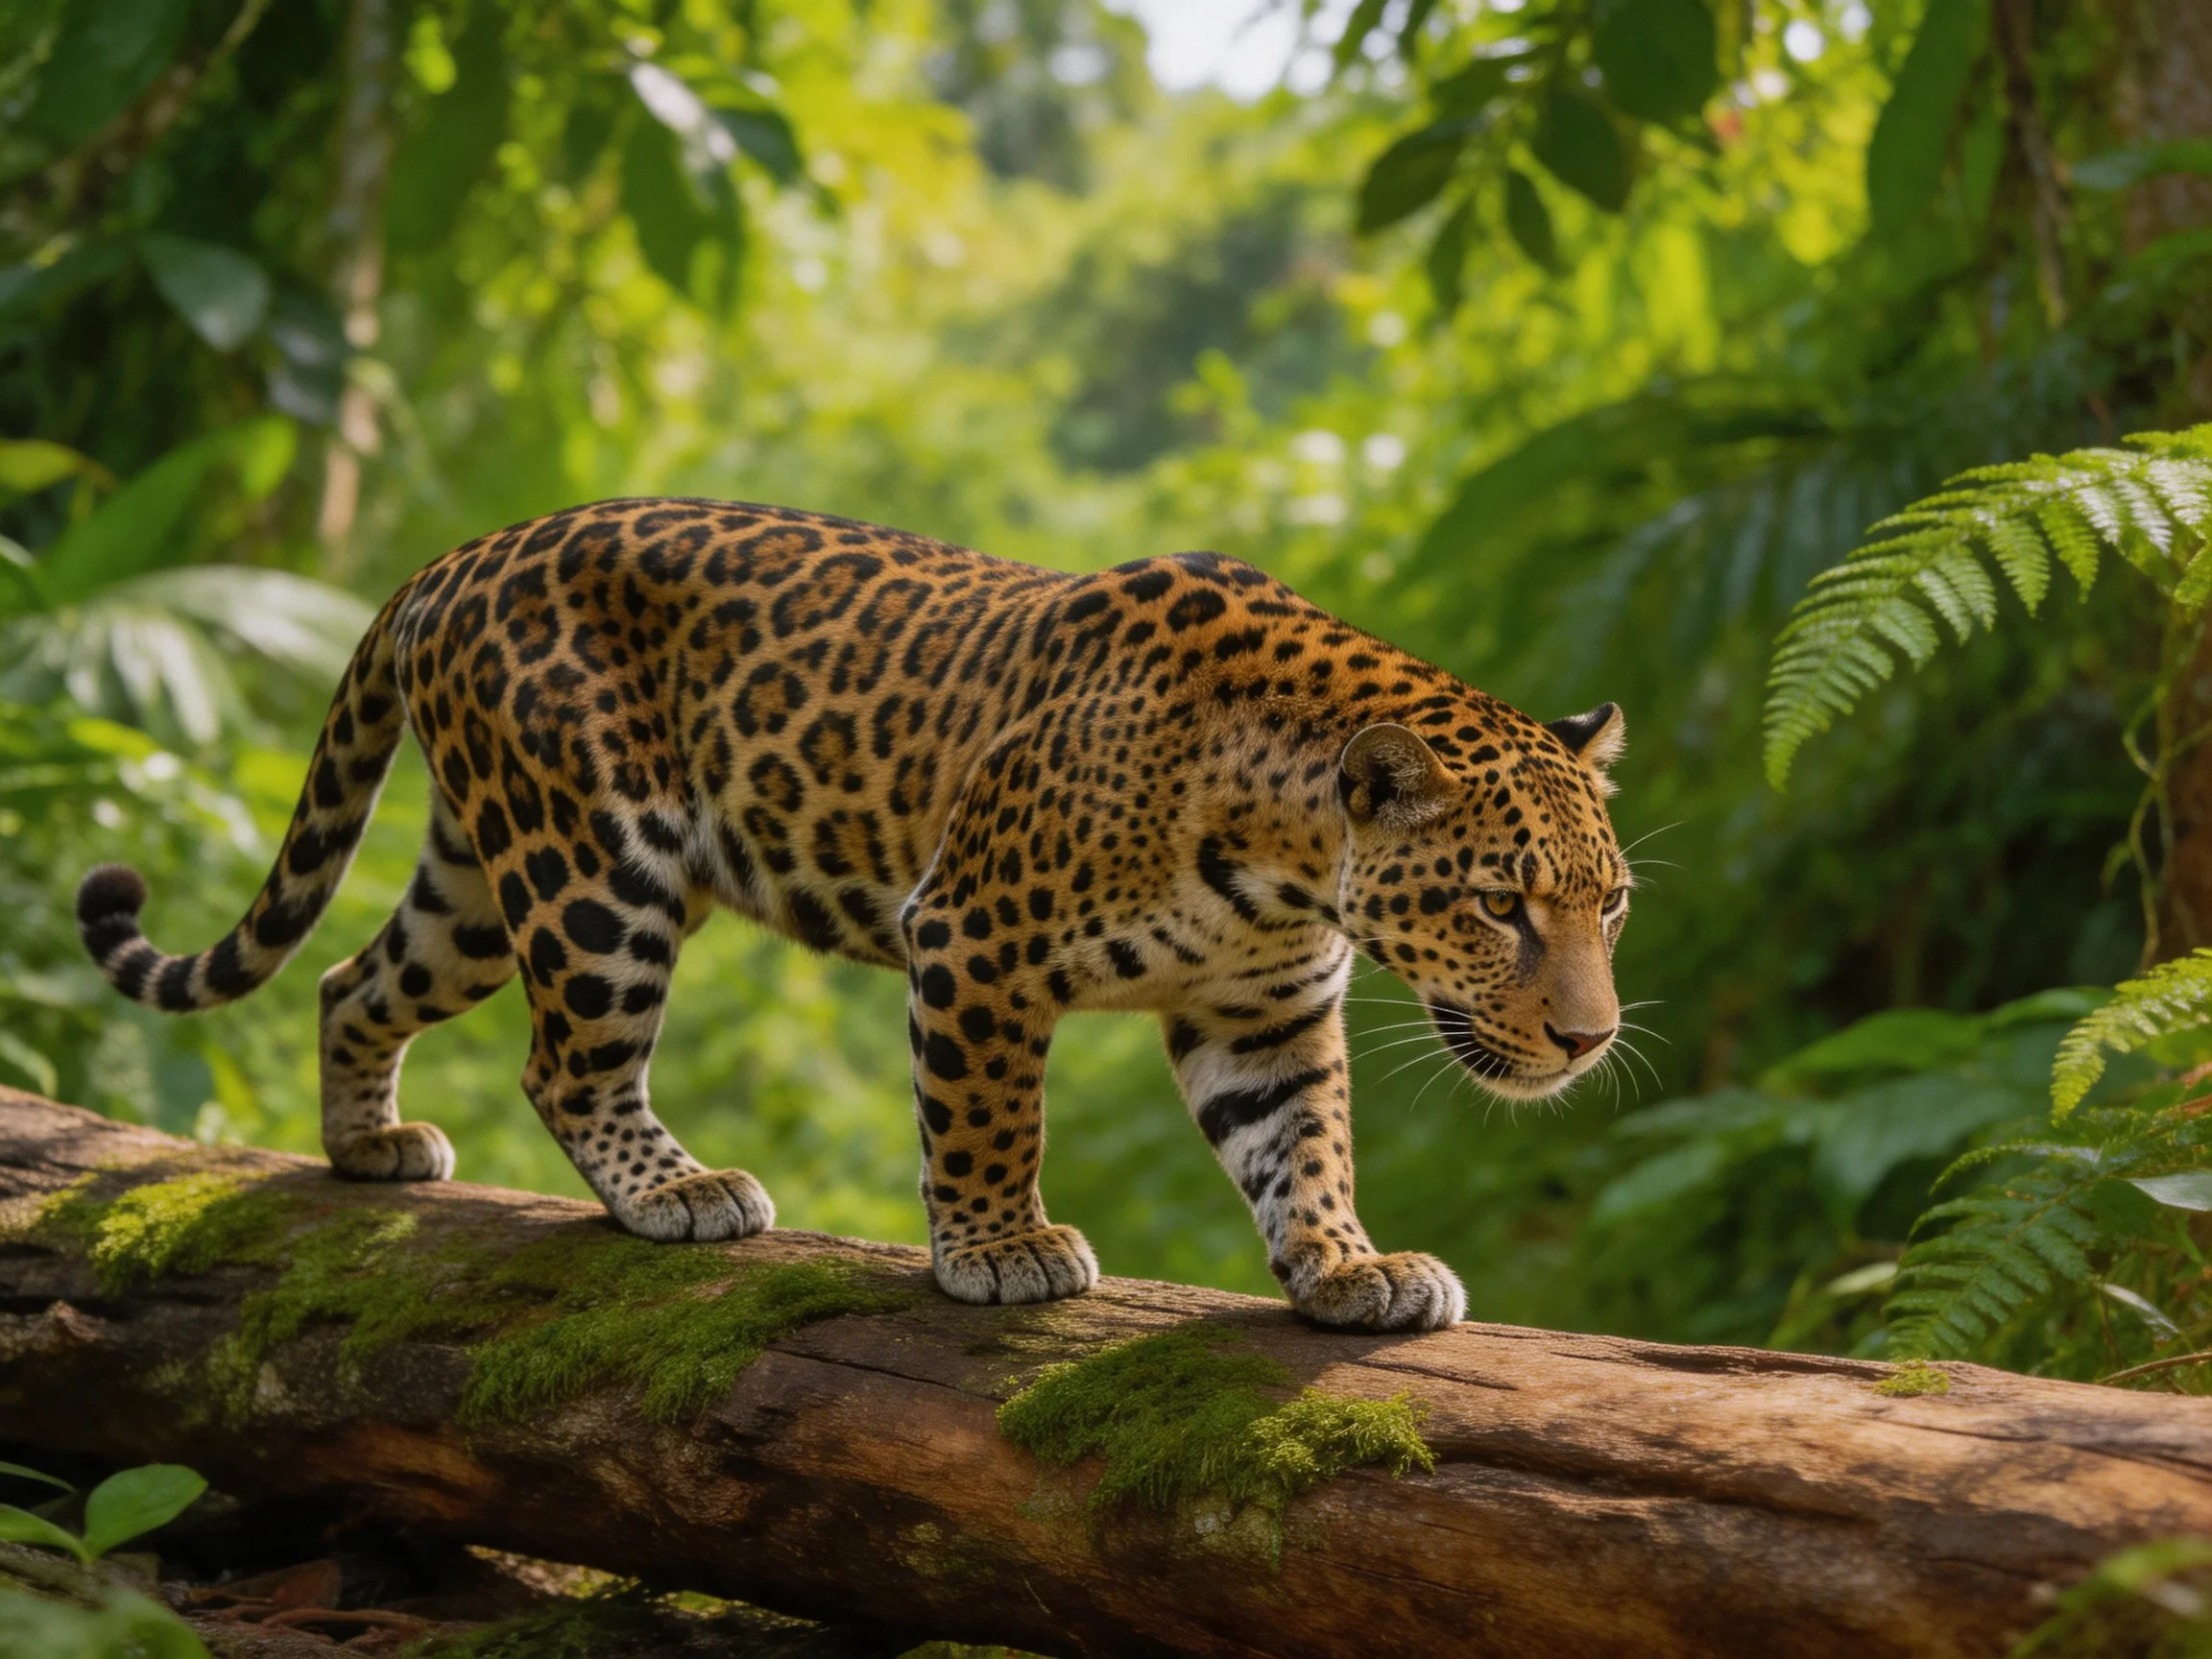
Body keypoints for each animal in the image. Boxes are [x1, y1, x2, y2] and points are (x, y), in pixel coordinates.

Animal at [75, 498, 1631, 1332]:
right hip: (598, 869)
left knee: (353, 981)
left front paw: (1348, 1269)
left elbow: (1302, 1147)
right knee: (566, 1062)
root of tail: (460, 556)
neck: (1293, 846)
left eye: (1609, 907)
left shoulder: (1264, 1009)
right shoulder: (976, 941)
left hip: (477, 869)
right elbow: (990, 1117)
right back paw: (682, 1193)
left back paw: (368, 1149)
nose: (1589, 1040)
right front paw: (1002, 1253)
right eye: (1500, 904)